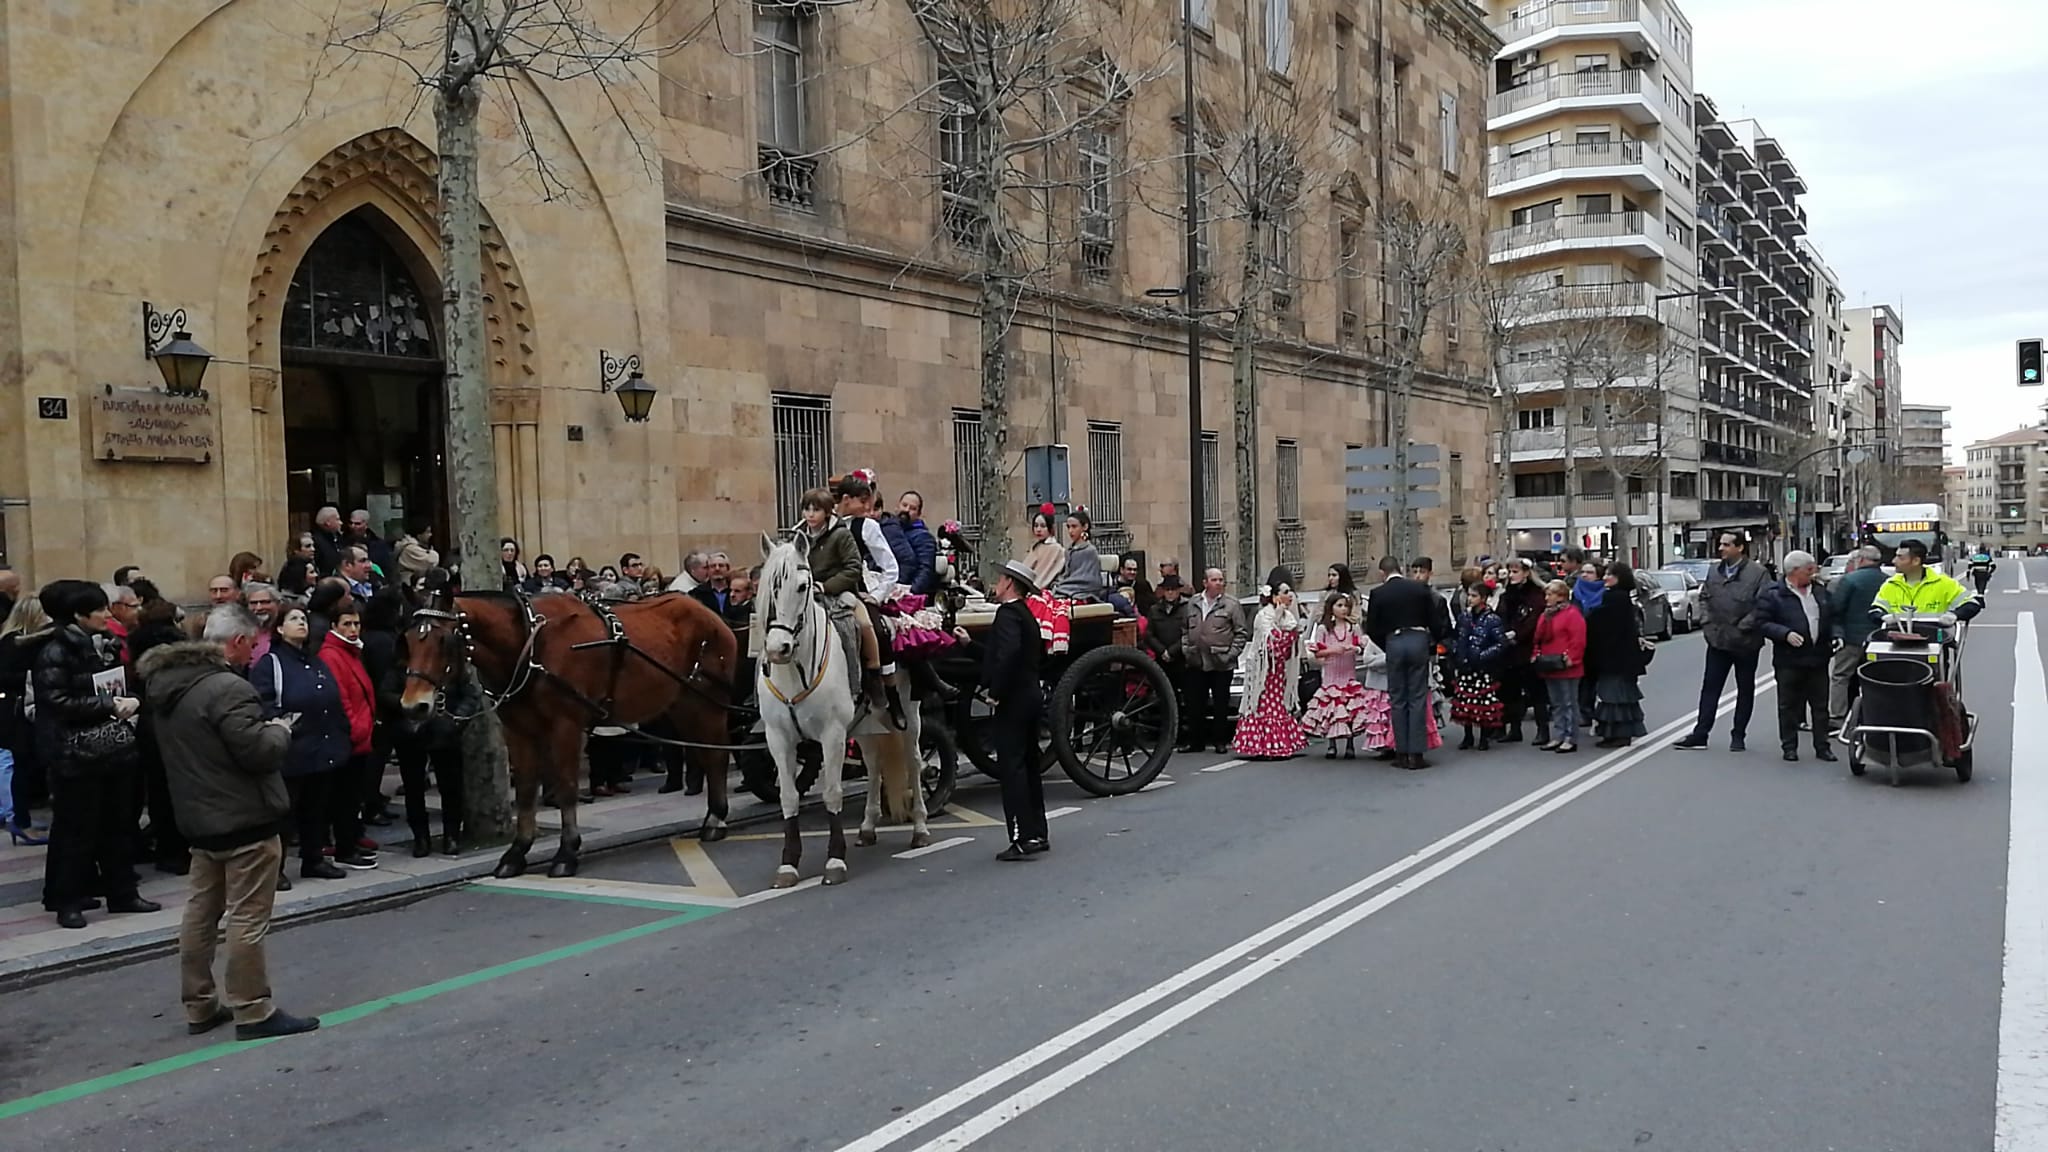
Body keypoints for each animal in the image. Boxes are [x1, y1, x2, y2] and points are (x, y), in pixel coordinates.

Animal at [399, 586, 737, 873]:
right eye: (407, 639)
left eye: (444, 639)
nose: (414, 706)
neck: (530, 645)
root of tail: (707, 611)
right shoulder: (518, 732)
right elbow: (525, 791)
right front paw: (517, 852)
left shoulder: (567, 726)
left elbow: (566, 787)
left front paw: (566, 852)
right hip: (682, 704)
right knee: (706, 753)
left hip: (708, 702)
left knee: (717, 756)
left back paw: (715, 818)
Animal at [757, 532, 933, 881]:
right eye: (769, 584)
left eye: (803, 586)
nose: (778, 649)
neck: (794, 672)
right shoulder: (778, 738)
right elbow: (788, 797)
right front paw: (788, 863)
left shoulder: (832, 734)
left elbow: (833, 792)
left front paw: (835, 860)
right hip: (865, 723)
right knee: (875, 764)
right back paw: (867, 828)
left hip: (909, 715)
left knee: (913, 761)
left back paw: (920, 829)